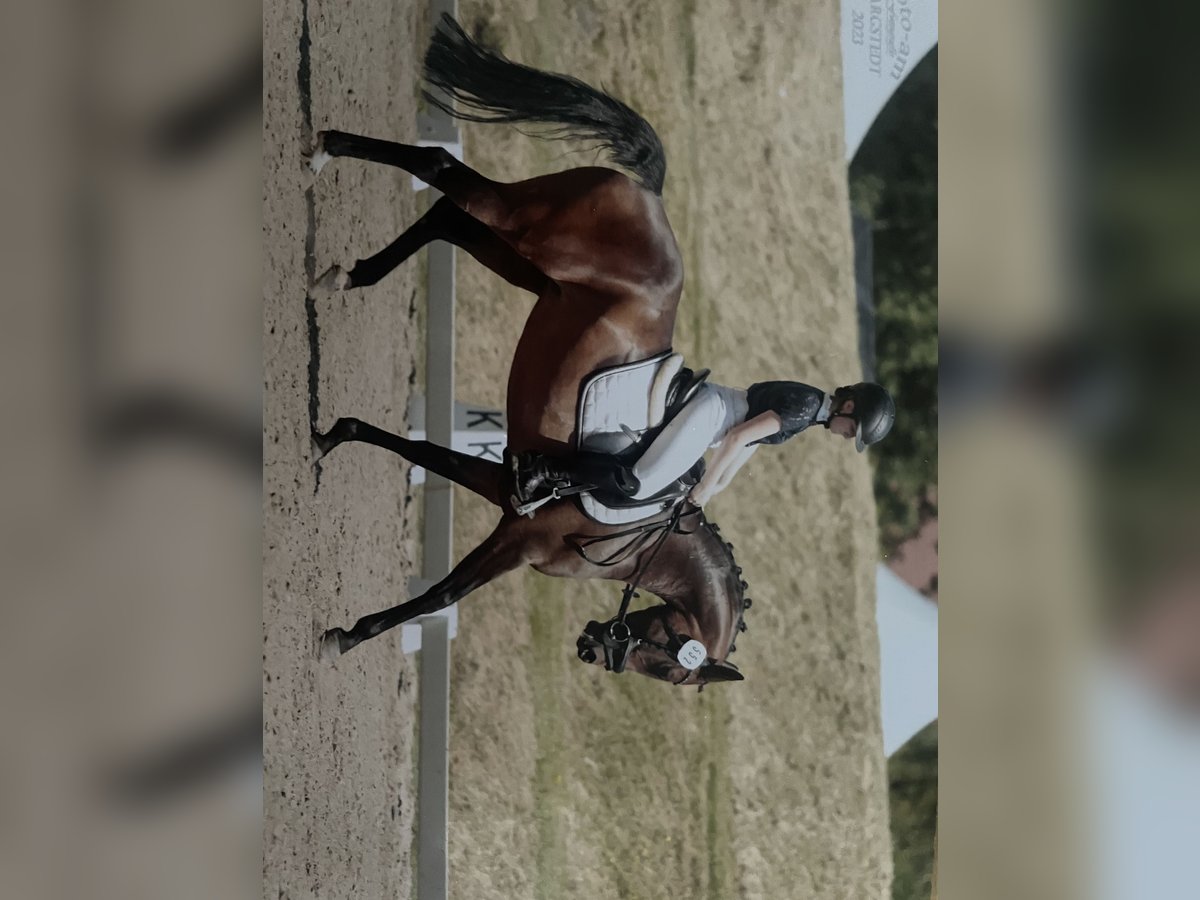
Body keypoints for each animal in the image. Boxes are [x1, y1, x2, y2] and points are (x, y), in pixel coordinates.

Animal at [309, 14, 748, 686]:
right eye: (673, 667)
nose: (593, 650)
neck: (641, 537)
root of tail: (651, 194)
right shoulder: (518, 541)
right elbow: (440, 595)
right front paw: (346, 636)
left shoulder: (500, 486)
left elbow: (416, 448)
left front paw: (335, 434)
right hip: (530, 229)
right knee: (443, 169)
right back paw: (326, 148)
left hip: (523, 263)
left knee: (449, 216)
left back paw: (347, 275)